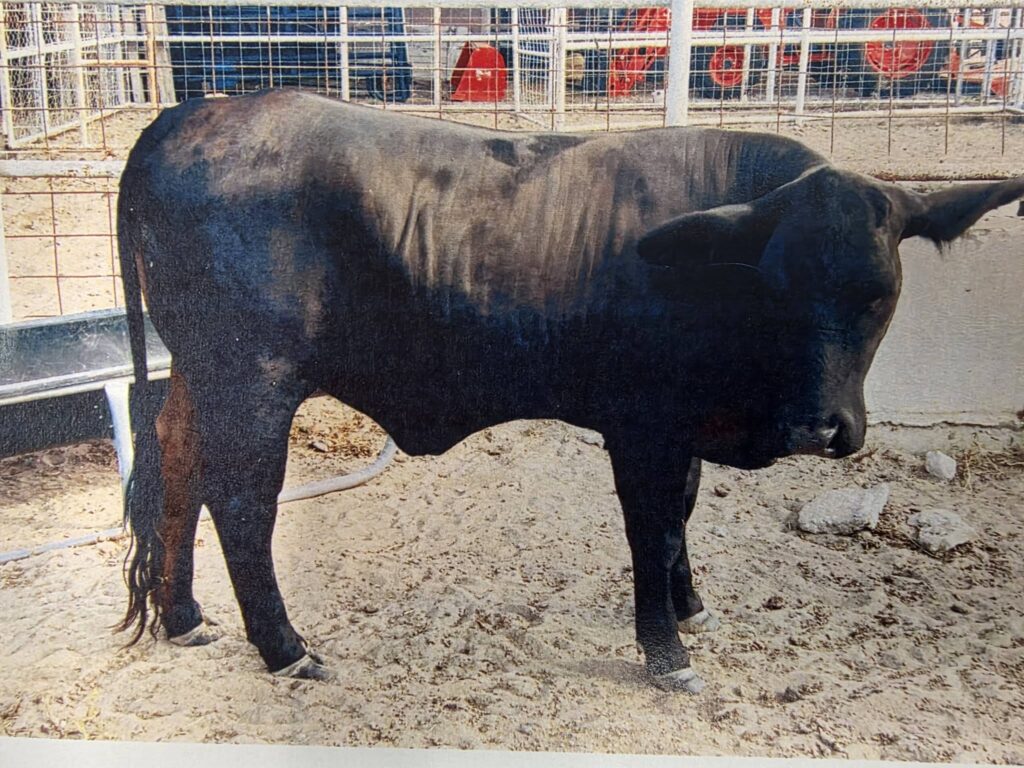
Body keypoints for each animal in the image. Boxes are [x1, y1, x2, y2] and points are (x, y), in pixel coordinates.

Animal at [116, 89, 1024, 692]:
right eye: (777, 286)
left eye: (879, 292)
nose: (817, 428)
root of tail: (195, 114)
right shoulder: (643, 426)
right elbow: (652, 531)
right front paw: (666, 654)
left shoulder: (680, 430)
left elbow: (681, 518)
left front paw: (690, 606)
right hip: (252, 380)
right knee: (241, 502)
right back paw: (285, 647)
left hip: (201, 374)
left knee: (177, 469)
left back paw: (185, 617)